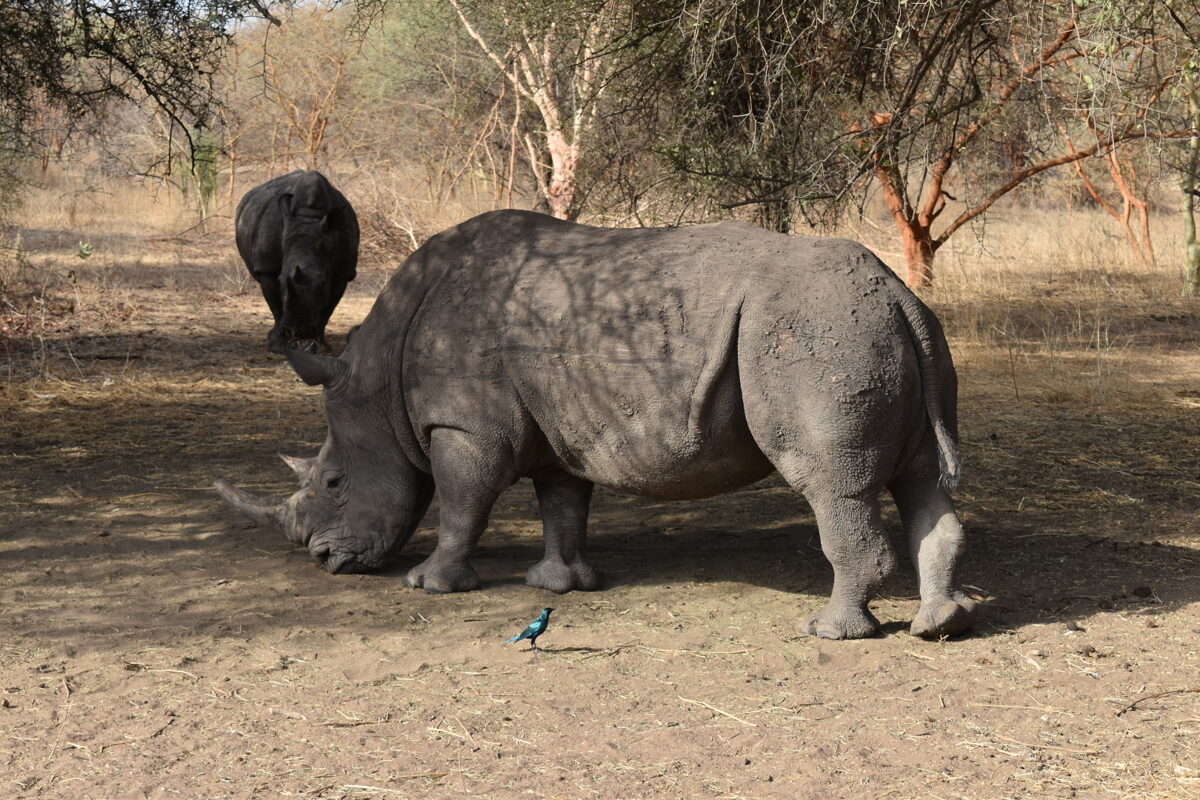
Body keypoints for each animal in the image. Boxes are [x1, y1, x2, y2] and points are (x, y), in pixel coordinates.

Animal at [216, 210, 978, 640]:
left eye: (334, 482)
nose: (323, 559)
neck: (378, 381)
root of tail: (900, 295)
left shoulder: (462, 427)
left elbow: (463, 502)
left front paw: (430, 586)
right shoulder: (560, 422)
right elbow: (562, 504)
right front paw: (558, 586)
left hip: (815, 335)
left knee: (833, 487)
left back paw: (830, 632)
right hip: (892, 332)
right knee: (919, 480)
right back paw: (941, 624)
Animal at [235, 170, 360, 354]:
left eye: (323, 282)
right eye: (281, 282)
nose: (298, 331)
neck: (309, 216)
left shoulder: (342, 274)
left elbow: (328, 309)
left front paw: (320, 348)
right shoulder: (267, 268)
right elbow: (276, 307)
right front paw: (278, 347)